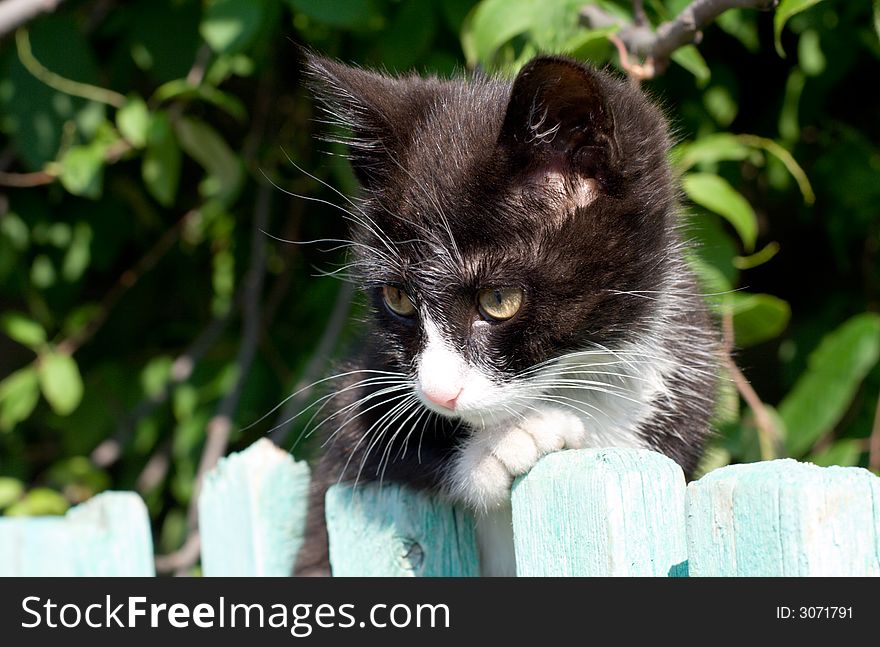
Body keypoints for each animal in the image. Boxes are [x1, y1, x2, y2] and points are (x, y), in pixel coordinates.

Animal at [292, 53, 720, 576]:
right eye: (398, 299)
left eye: (498, 300)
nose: (438, 393)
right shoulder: (357, 388)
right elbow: (368, 447)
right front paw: (505, 444)